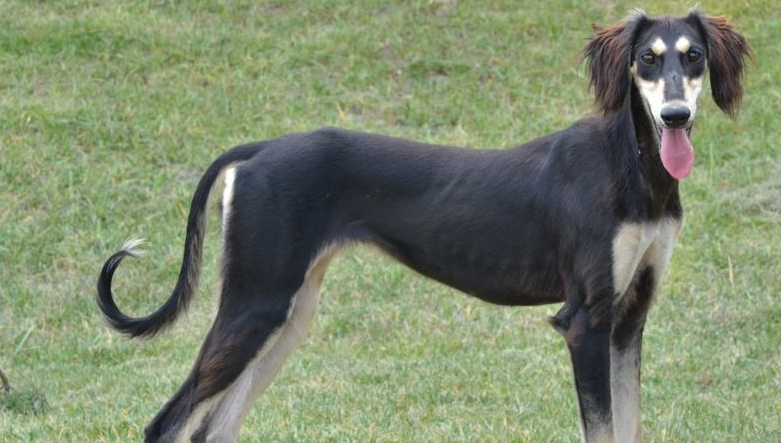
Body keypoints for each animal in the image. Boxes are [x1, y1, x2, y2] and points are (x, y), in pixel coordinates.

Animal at [97, 10, 748, 443]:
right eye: (647, 58)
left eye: (693, 56)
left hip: (286, 315)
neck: (633, 167)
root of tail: (258, 151)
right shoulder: (585, 321)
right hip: (254, 307)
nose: (675, 115)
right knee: (166, 424)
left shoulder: (629, 317)